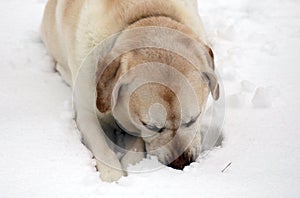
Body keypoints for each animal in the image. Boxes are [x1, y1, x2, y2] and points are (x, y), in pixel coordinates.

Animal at [41, 0, 219, 183]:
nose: (181, 163)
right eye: (151, 126)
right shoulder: (86, 113)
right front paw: (112, 175)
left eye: (193, 119)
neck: (144, 12)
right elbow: (101, 145)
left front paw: (131, 165)